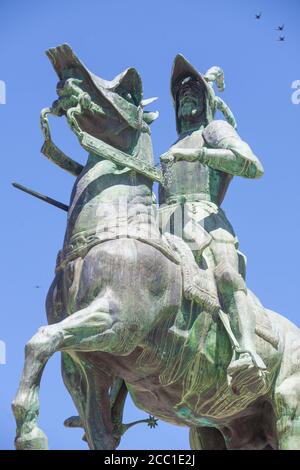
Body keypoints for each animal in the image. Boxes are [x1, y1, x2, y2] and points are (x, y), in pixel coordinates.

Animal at [12, 45, 300, 452]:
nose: (67, 73)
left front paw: (31, 433)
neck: (115, 231)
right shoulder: (84, 366)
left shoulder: (117, 322)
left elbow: (40, 340)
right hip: (217, 428)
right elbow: (91, 419)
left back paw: (246, 364)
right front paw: (30, 429)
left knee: (230, 280)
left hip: (287, 410)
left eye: (129, 91)